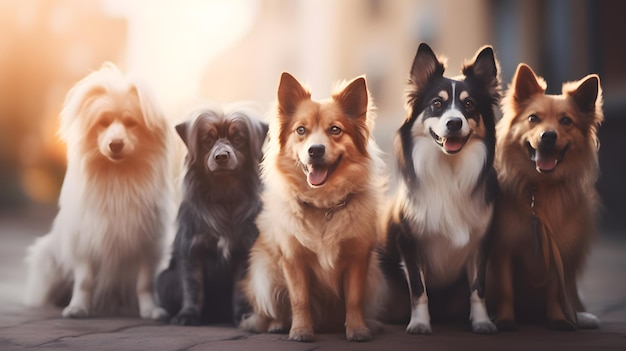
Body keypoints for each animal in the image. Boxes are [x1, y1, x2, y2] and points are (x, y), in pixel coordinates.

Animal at [24, 62, 173, 320]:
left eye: (131, 123)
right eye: (103, 122)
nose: (116, 144)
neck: (117, 178)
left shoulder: (148, 245)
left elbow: (145, 284)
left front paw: (150, 310)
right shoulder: (86, 241)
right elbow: (84, 281)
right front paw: (77, 307)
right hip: (49, 259)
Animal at [155, 104, 266, 328]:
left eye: (238, 139)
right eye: (207, 141)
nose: (221, 156)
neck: (224, 193)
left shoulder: (244, 251)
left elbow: (240, 290)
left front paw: (243, 315)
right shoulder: (192, 251)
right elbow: (193, 288)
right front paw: (187, 315)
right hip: (165, 278)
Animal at [378, 43, 500, 336]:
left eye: (469, 104)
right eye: (437, 104)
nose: (454, 123)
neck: (449, 169)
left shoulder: (481, 243)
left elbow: (478, 288)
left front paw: (482, 322)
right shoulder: (409, 243)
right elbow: (419, 290)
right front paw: (420, 324)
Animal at [488, 64, 600, 332]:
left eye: (566, 121)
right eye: (533, 119)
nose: (548, 136)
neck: (540, 189)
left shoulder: (559, 251)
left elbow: (556, 292)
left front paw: (559, 319)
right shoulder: (503, 250)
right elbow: (506, 289)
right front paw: (505, 320)